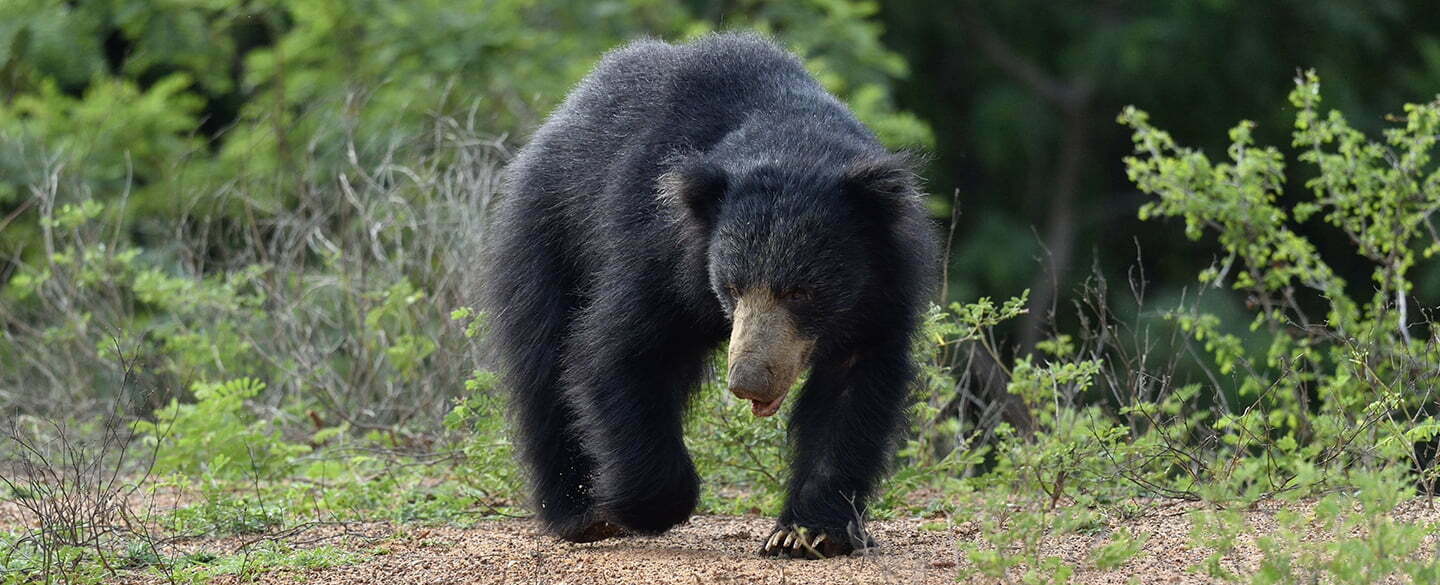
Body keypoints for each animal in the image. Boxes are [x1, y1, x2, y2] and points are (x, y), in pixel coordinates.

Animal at [480, 32, 937, 559]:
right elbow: (619, 350)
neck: (791, 138)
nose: (748, 382)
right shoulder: (660, 251)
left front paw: (806, 533)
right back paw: (580, 514)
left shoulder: (882, 286)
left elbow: (853, 389)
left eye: (801, 292)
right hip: (550, 236)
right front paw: (643, 505)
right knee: (543, 367)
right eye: (732, 287)